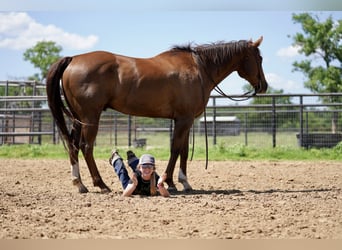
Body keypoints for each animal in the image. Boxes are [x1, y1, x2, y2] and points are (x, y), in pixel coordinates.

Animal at [46, 36, 268, 193]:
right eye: (259, 58)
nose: (263, 86)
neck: (198, 69)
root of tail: (73, 59)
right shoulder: (183, 120)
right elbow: (175, 149)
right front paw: (170, 182)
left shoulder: (185, 120)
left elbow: (183, 151)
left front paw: (184, 182)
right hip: (90, 118)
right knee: (86, 147)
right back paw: (100, 184)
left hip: (78, 118)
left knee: (73, 146)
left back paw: (79, 183)